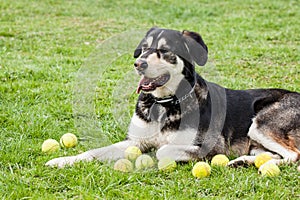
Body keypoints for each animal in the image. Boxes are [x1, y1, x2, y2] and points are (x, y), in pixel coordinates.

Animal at [45, 27, 298, 169]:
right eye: (143, 48)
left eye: (165, 51)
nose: (138, 64)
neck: (163, 103)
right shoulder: (134, 141)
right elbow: (94, 152)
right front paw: (62, 161)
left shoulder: (212, 147)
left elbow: (163, 150)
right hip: (256, 142)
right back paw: (244, 161)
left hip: (261, 124)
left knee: (295, 156)